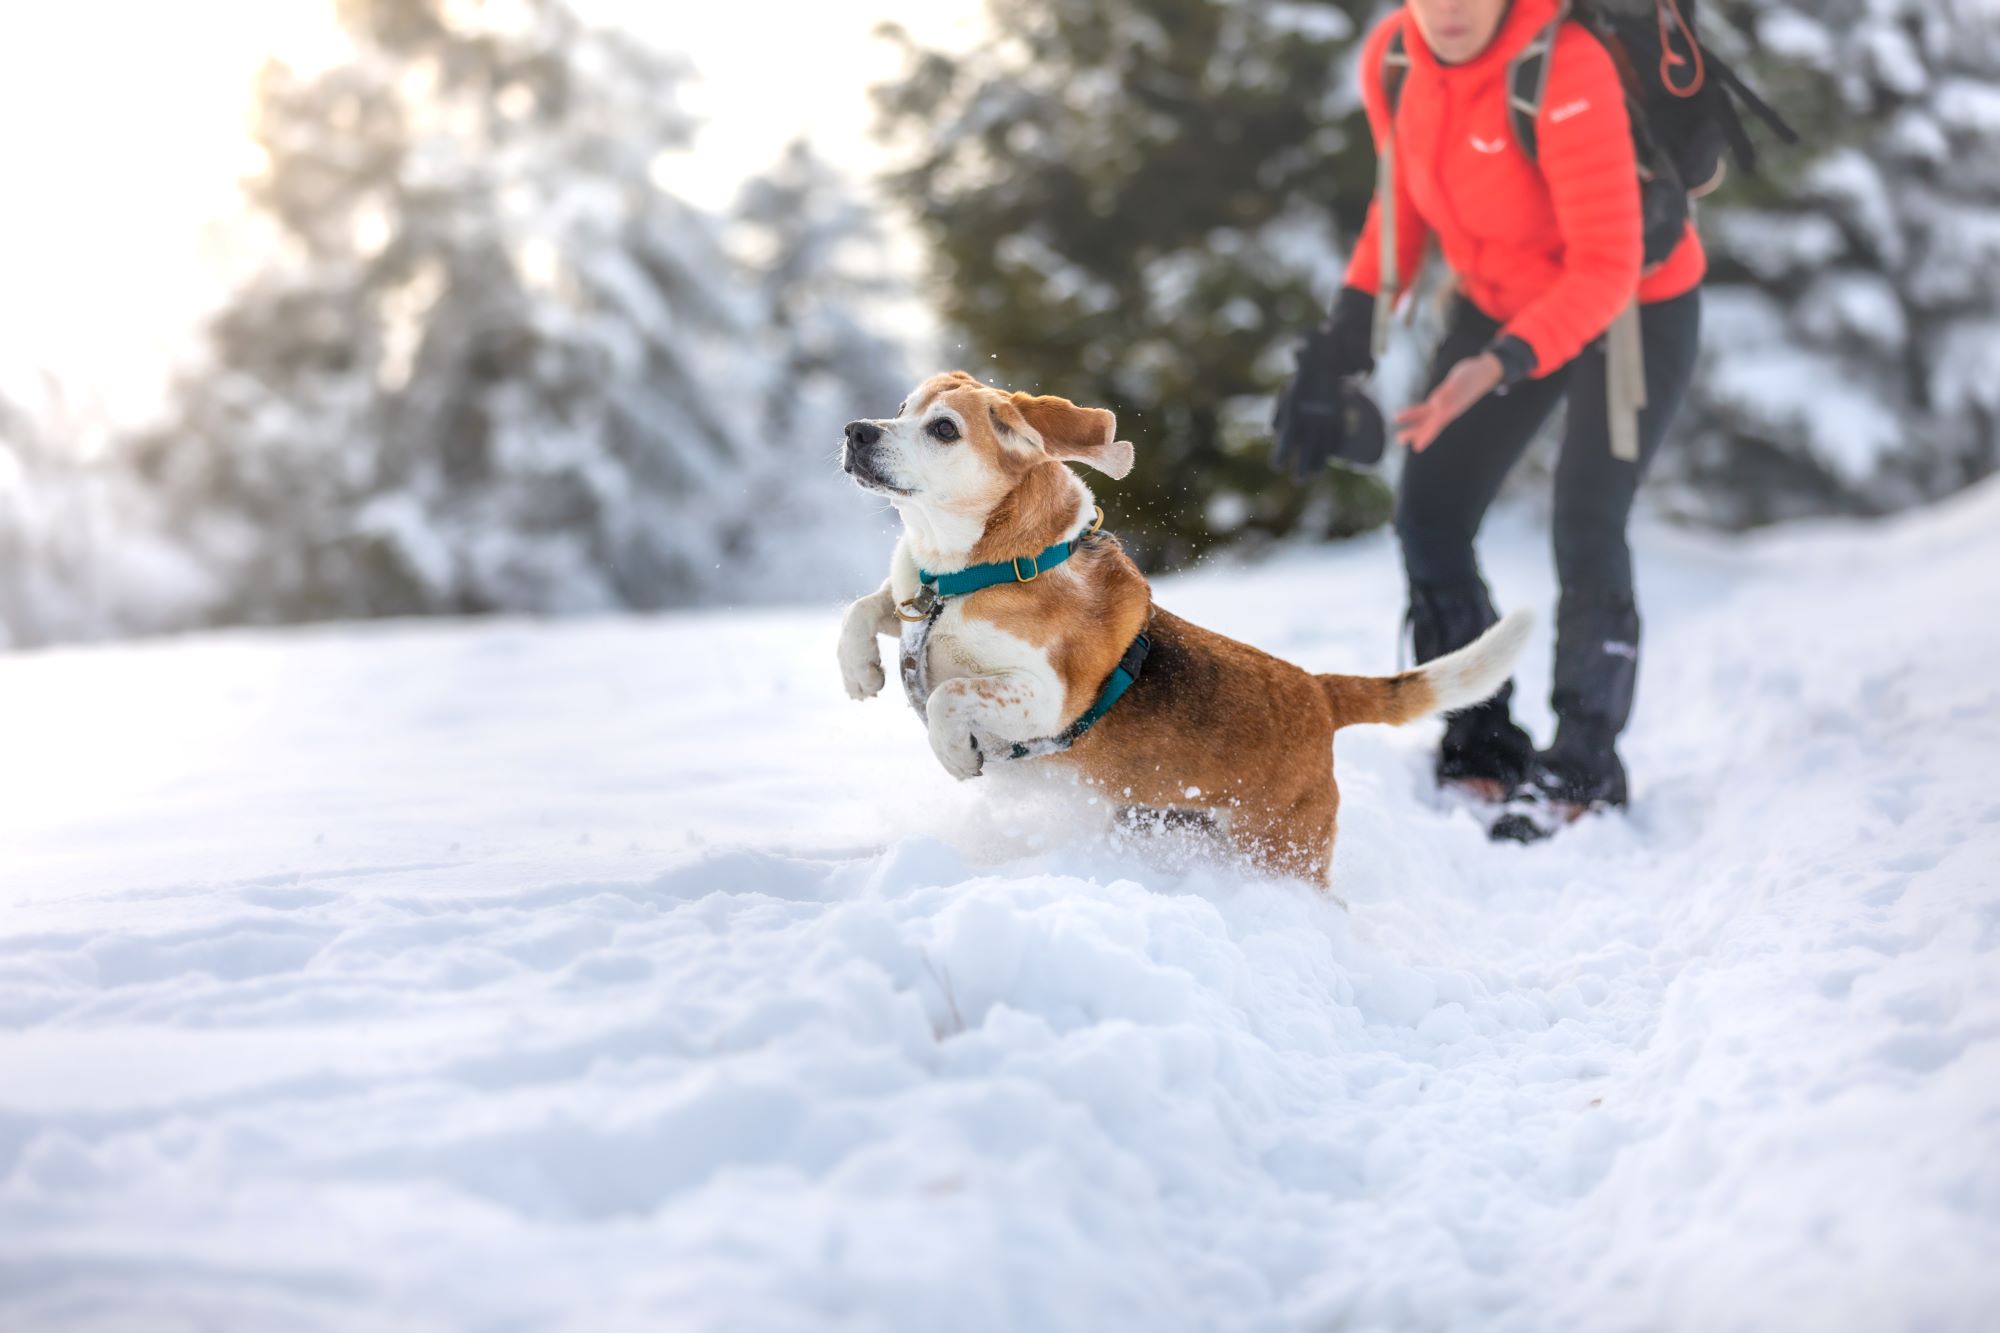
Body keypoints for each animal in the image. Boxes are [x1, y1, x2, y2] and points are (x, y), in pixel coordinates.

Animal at [836, 370, 1520, 880]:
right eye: (902, 408)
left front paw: (954, 755)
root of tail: (1318, 691)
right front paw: (859, 672)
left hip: (1278, 849)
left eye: (944, 429)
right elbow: (864, 607)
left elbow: (952, 694)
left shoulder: (1047, 699)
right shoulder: (912, 602)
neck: (971, 574)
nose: (856, 431)